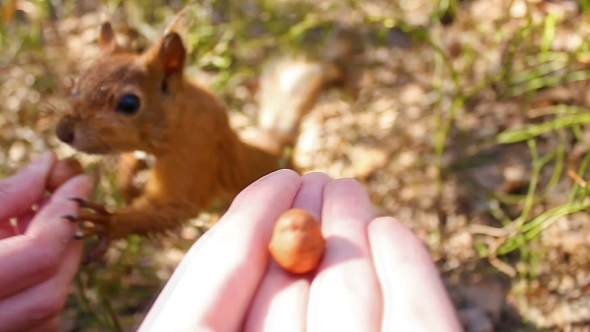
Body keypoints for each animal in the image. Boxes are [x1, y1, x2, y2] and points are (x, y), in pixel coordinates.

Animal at [55, 18, 342, 241]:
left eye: (129, 103)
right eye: (78, 81)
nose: (62, 132)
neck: (177, 121)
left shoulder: (194, 154)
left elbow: (173, 205)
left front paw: (109, 222)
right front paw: (127, 183)